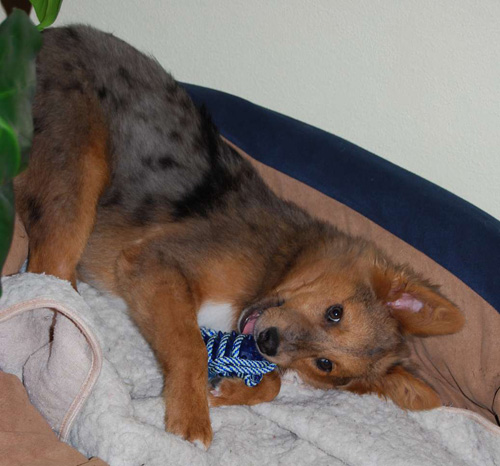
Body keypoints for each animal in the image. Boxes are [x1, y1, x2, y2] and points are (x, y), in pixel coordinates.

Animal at [14, 25, 464, 448]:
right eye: (336, 312)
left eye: (325, 364)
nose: (268, 340)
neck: (280, 264)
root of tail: (44, 33)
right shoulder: (154, 260)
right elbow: (190, 346)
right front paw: (191, 414)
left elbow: (273, 383)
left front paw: (224, 391)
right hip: (79, 171)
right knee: (49, 277)